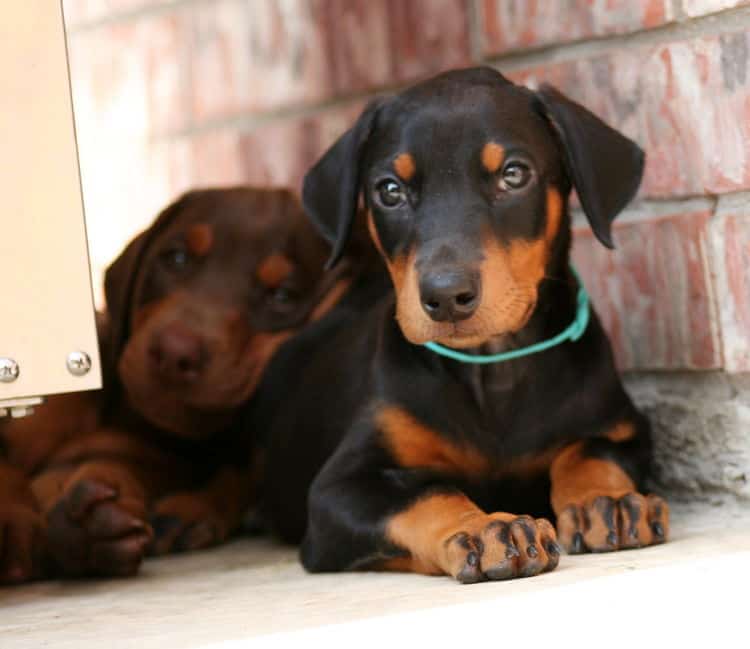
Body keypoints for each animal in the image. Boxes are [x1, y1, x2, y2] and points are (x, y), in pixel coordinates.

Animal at [258, 68, 668, 584]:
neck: (492, 366)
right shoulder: (339, 489)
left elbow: (589, 452)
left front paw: (606, 501)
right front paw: (482, 529)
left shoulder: (623, 428)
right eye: (389, 190)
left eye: (514, 174)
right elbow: (426, 493)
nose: (446, 296)